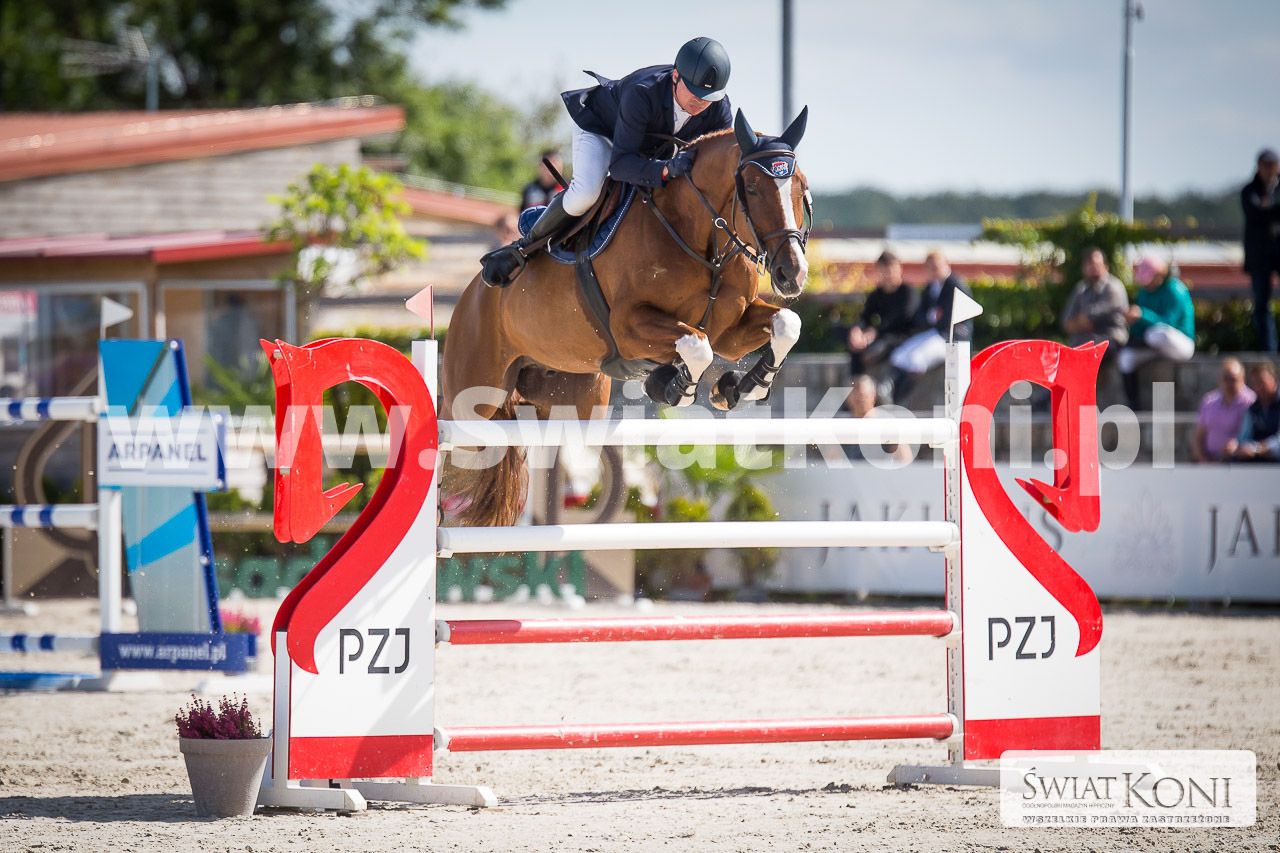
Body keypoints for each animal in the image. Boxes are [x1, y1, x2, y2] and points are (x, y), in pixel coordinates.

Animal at [441, 108, 812, 527]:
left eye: (800, 185)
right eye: (751, 186)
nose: (792, 273)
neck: (702, 240)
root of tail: (470, 295)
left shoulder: (730, 332)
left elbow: (786, 325)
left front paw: (740, 387)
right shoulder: (630, 326)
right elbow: (696, 346)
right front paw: (673, 387)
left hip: (576, 400)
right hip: (473, 399)